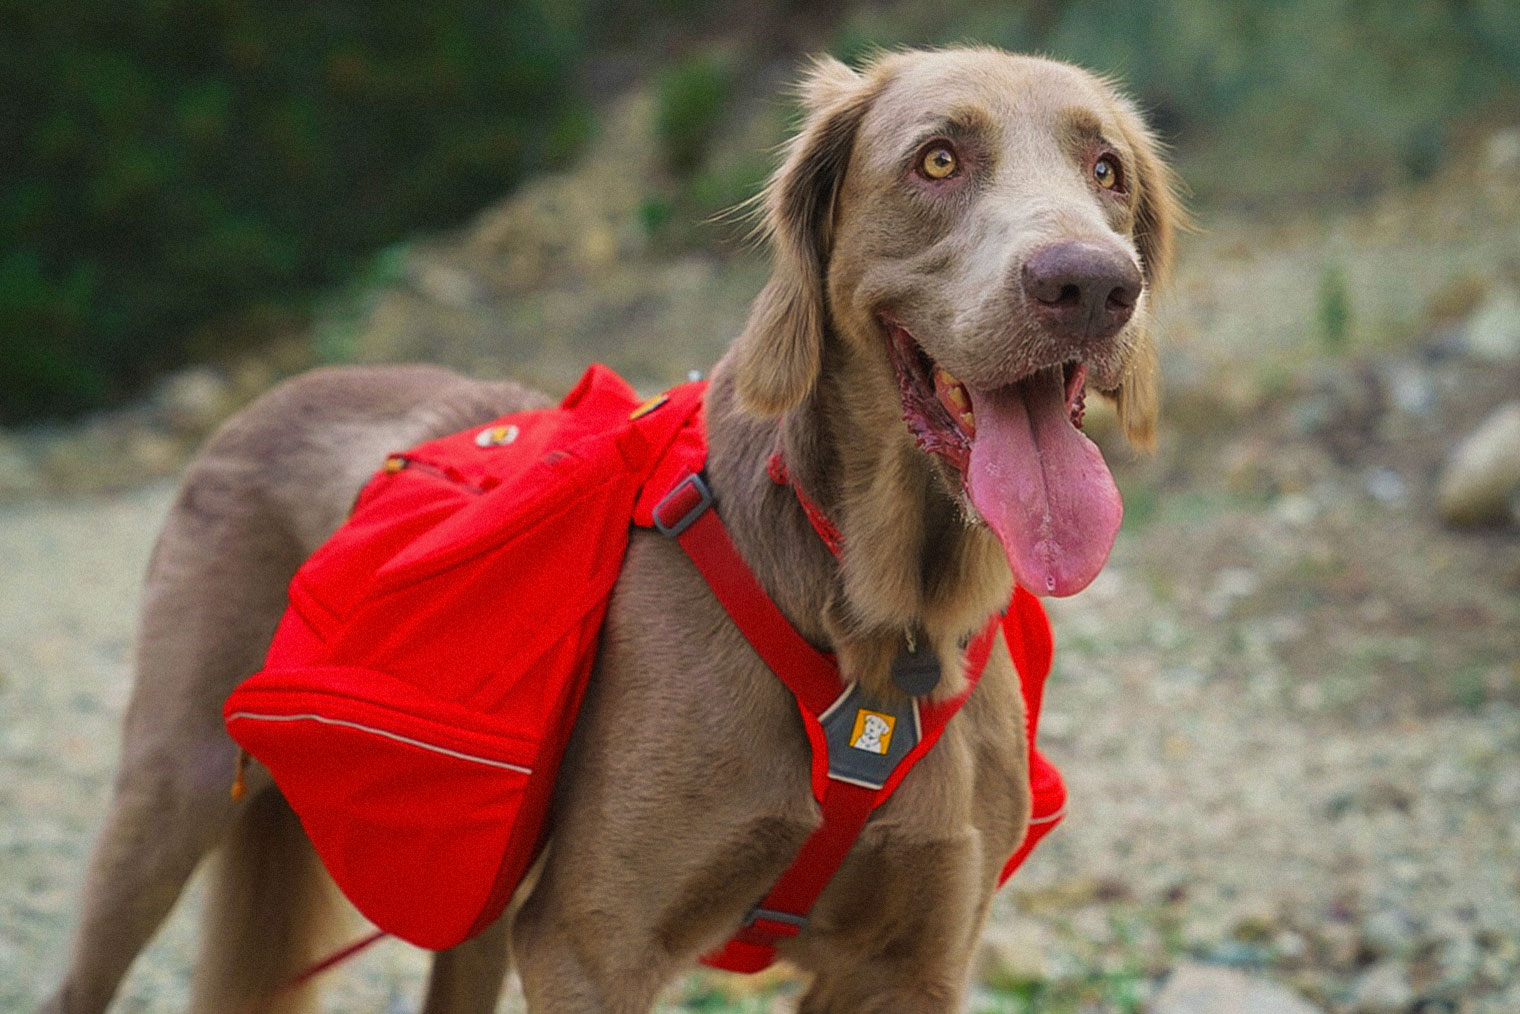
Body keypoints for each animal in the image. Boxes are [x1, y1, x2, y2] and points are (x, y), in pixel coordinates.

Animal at [35, 43, 1173, 1009]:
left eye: (1106, 170)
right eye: (938, 159)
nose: (1090, 284)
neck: (882, 628)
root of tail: (278, 390)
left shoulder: (911, 964)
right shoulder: (592, 943)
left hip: (475, 884)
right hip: (171, 786)